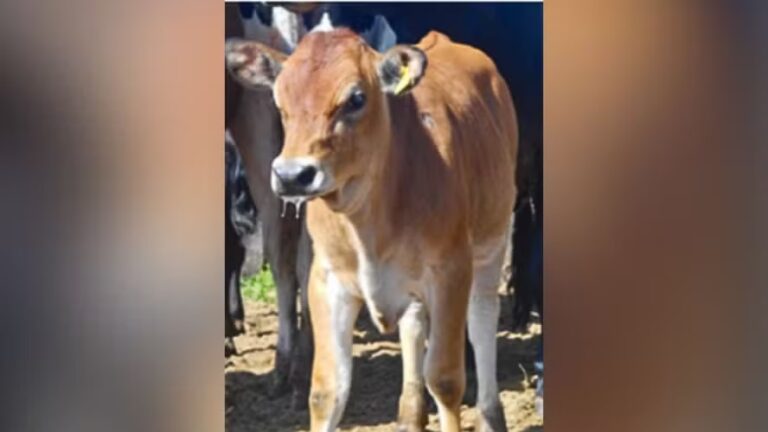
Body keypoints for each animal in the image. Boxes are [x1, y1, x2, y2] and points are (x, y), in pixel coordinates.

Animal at [226, 29, 518, 431]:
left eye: (356, 98)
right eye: (279, 99)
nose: (292, 175)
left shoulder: (451, 271)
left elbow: (445, 379)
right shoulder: (327, 280)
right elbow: (328, 390)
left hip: (492, 242)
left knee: (482, 318)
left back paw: (490, 414)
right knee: (413, 326)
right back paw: (410, 413)